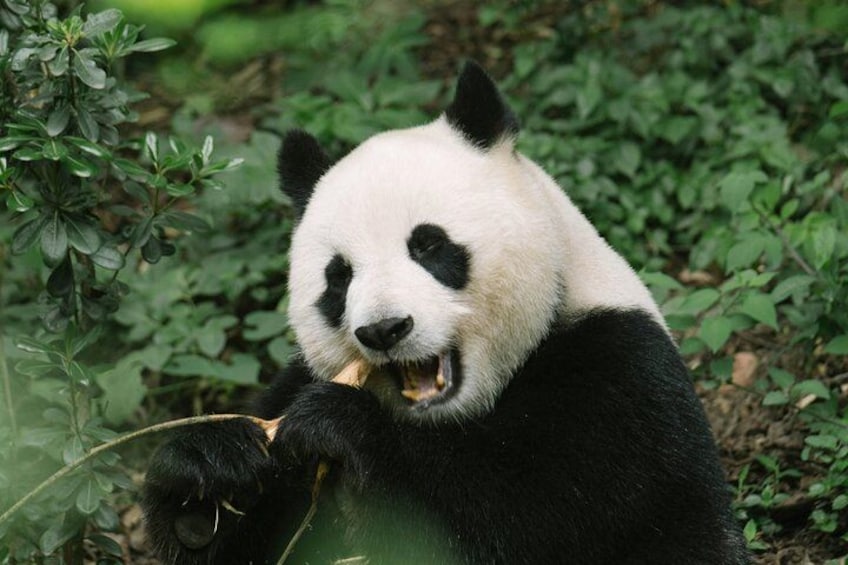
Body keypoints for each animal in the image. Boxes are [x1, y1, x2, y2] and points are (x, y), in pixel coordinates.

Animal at [142, 61, 750, 565]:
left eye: (429, 245)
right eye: (339, 277)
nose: (384, 329)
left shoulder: (616, 375)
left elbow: (536, 519)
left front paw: (345, 426)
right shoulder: (293, 387)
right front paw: (208, 470)